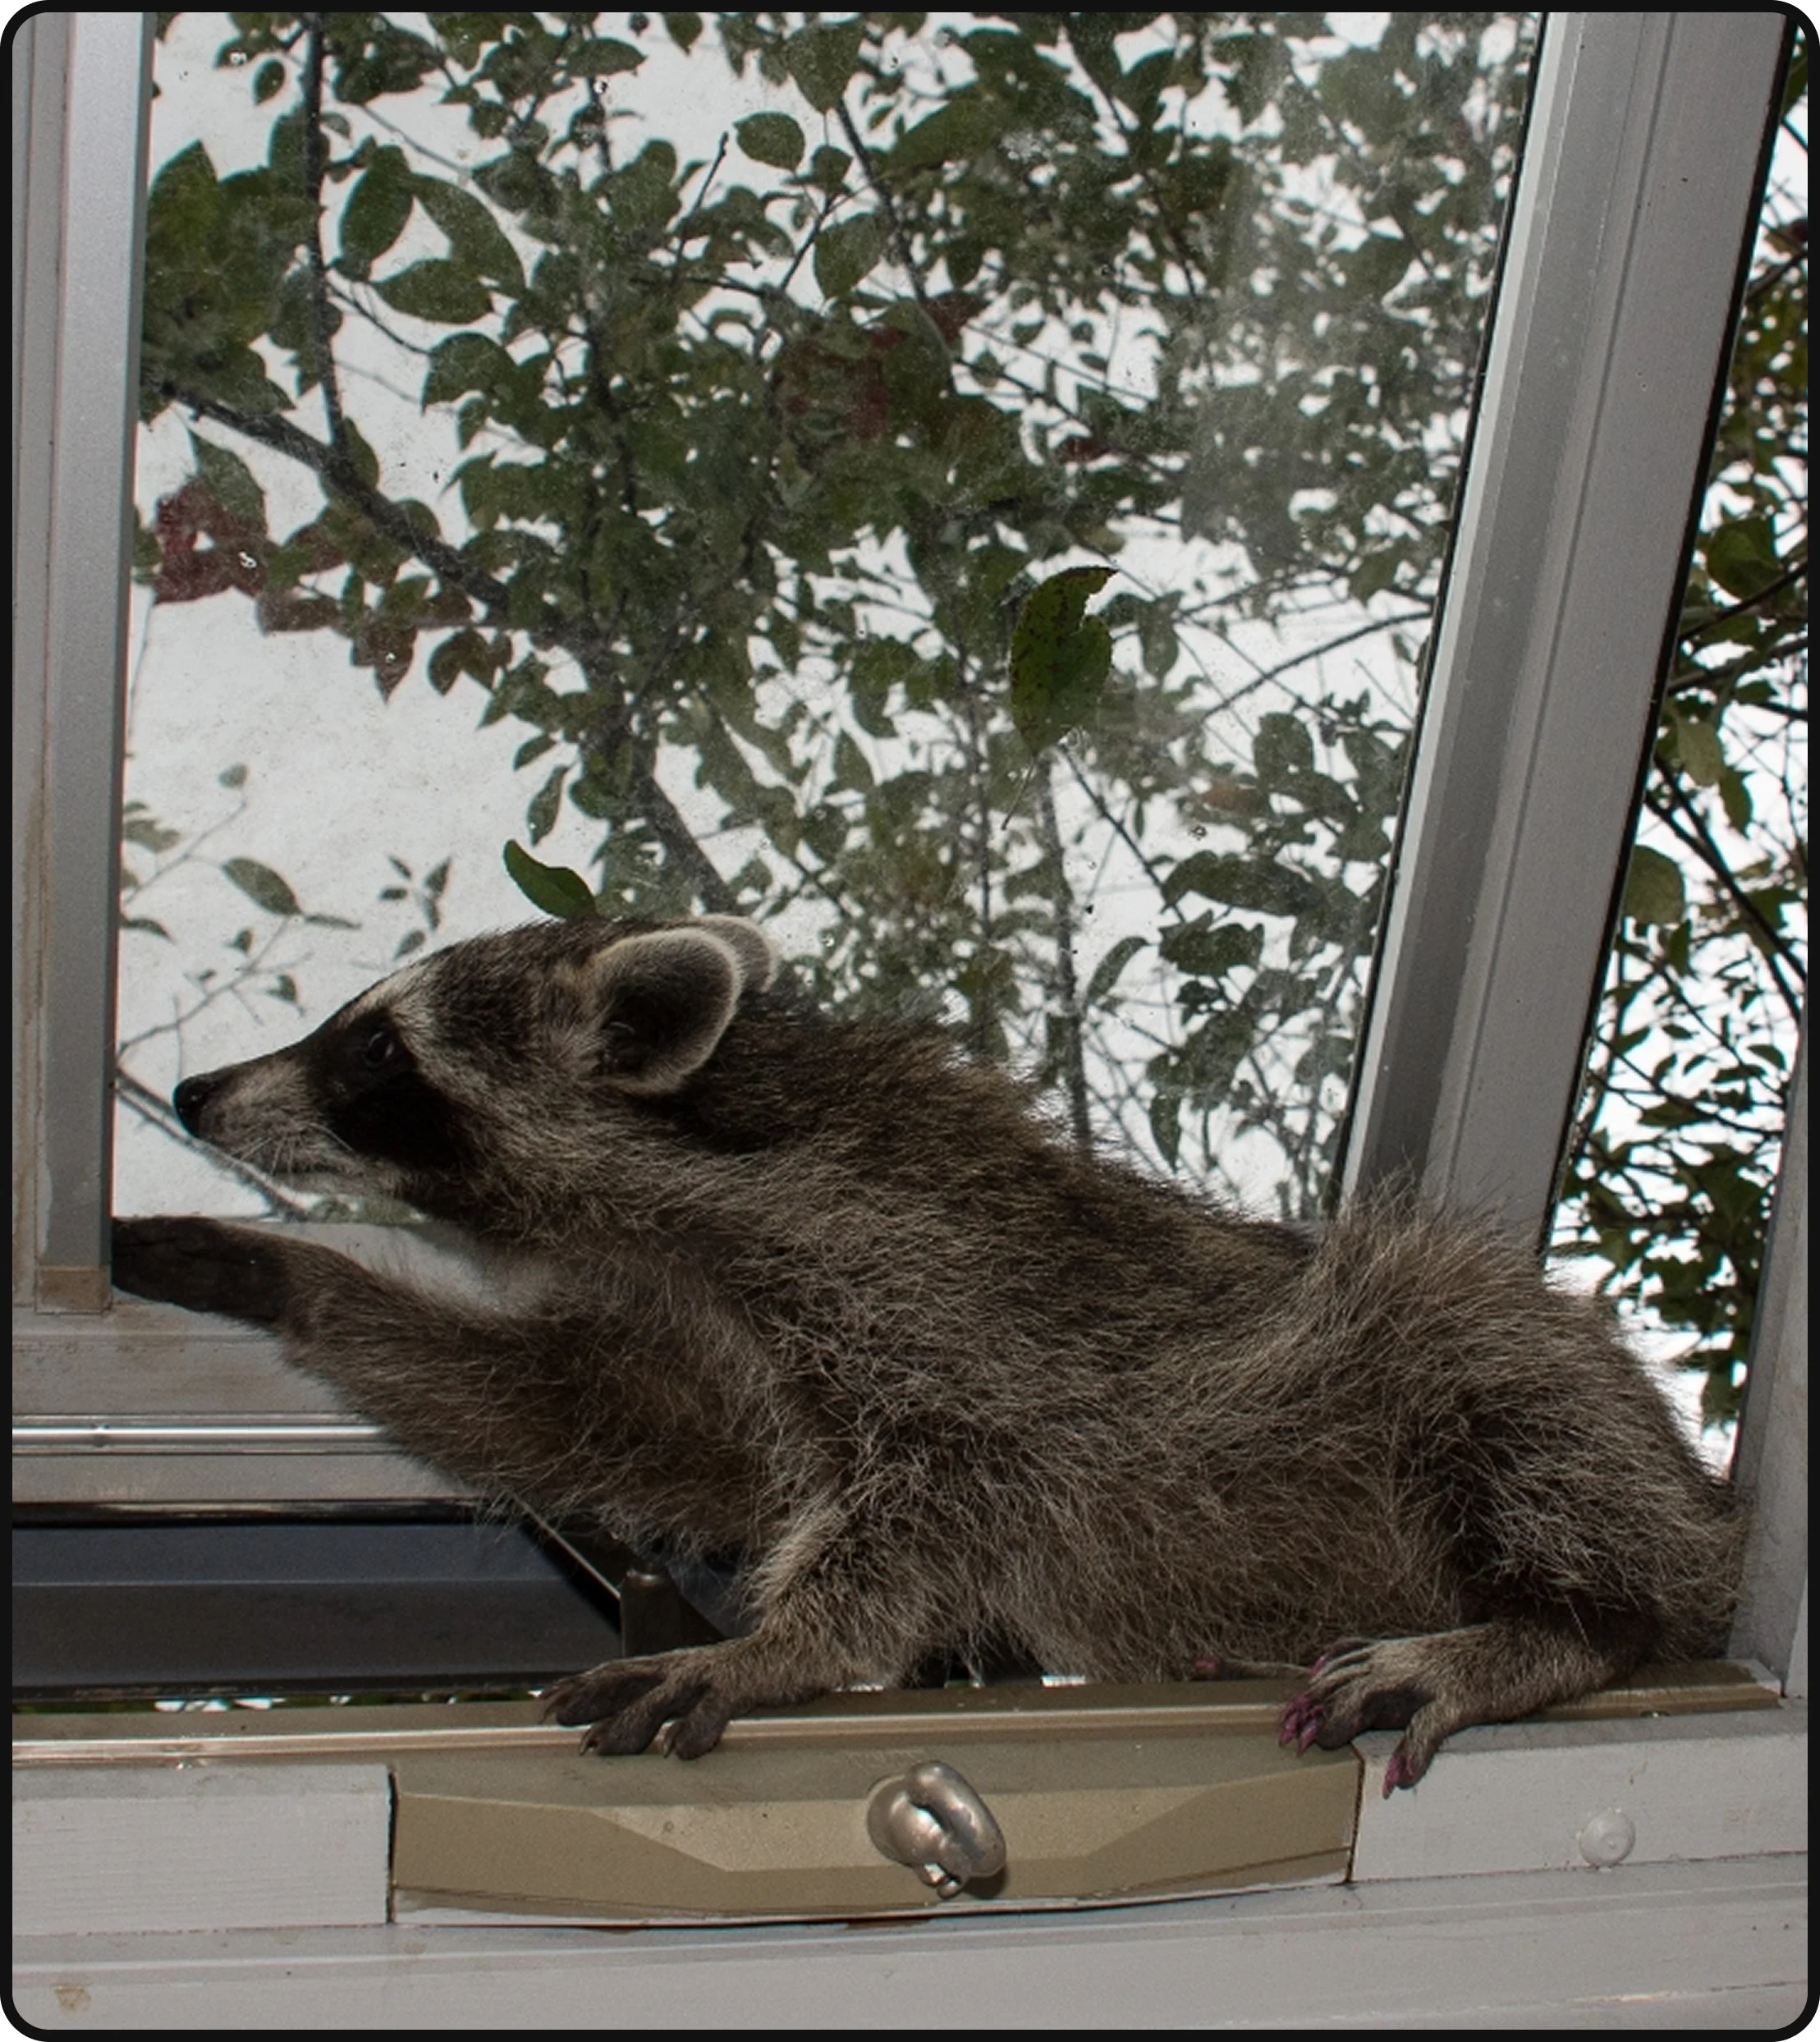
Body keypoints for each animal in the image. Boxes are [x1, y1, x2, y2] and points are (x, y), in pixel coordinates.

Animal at [111, 915, 1743, 1789]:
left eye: (375, 1049)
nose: (197, 1094)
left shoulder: (938, 1303)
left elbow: (932, 1503)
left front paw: (775, 1644)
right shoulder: (716, 1344)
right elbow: (571, 1410)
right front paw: (290, 1275)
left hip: (1492, 1371)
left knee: (1487, 1362)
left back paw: (1561, 1621)